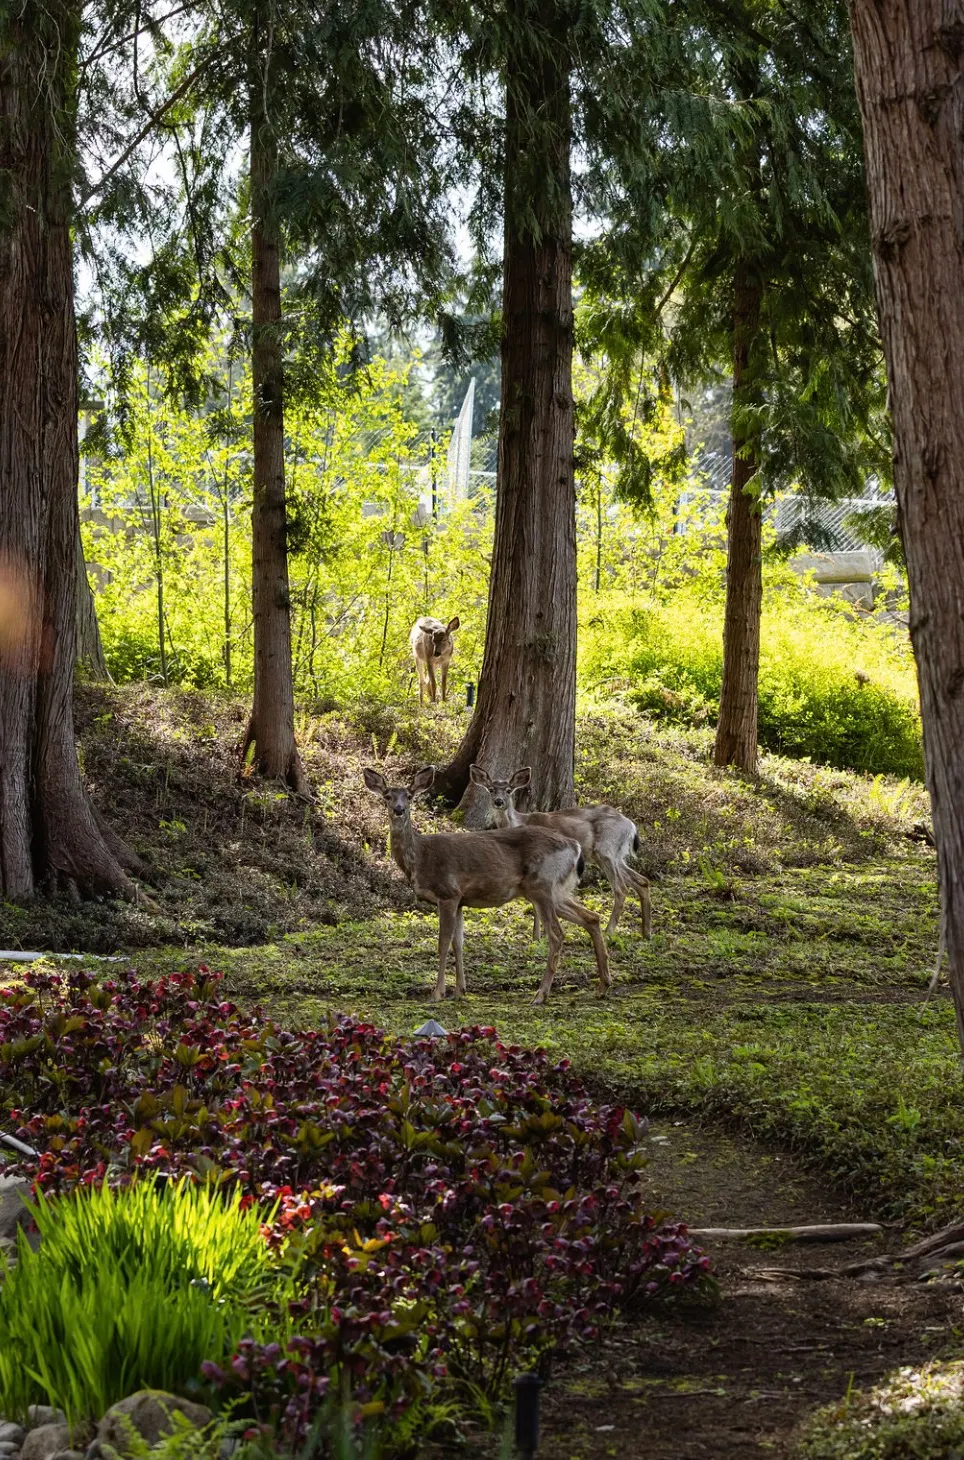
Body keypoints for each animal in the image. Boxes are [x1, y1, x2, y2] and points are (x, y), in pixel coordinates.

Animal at [363, 765, 611, 1005]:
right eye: (387, 796)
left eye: (409, 796)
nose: (399, 809)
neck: (420, 857)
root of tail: (575, 847)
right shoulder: (460, 900)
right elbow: (458, 943)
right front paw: (460, 991)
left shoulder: (448, 893)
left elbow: (443, 943)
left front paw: (437, 993)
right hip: (555, 891)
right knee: (592, 918)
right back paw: (603, 985)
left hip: (542, 885)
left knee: (557, 934)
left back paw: (541, 994)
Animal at [469, 764, 652, 940]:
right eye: (491, 789)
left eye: (508, 790)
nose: (499, 802)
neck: (519, 822)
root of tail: (631, 825)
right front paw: (536, 936)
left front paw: (537, 937)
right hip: (614, 855)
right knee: (641, 881)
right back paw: (646, 932)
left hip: (606, 850)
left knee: (621, 888)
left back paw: (609, 931)